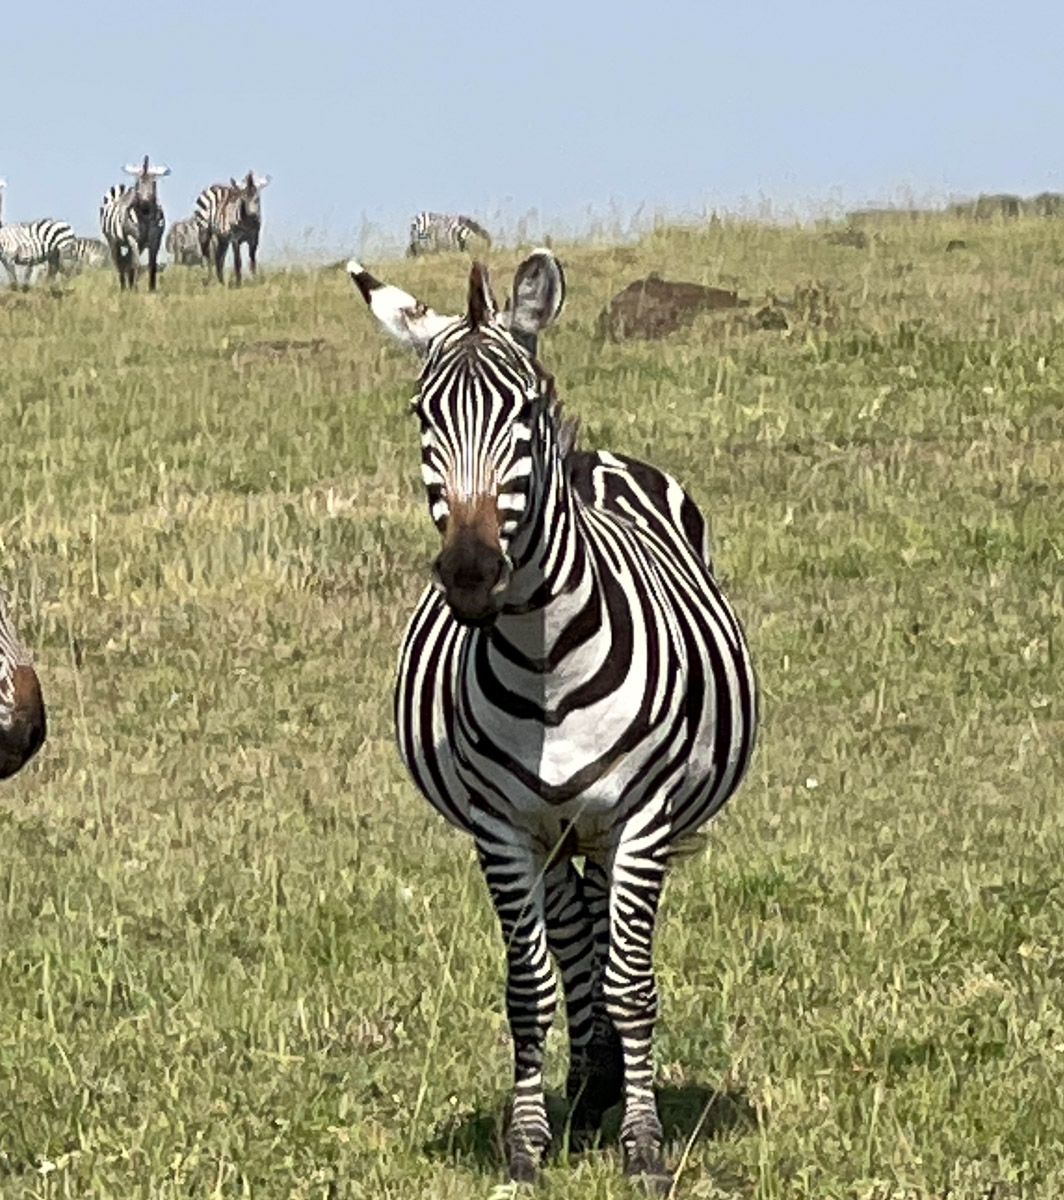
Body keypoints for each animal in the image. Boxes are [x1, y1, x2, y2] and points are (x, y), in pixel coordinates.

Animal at [99, 155, 170, 291]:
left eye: (154, 184)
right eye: (137, 184)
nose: (145, 207)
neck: (145, 219)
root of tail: (120, 191)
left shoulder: (155, 239)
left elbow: (152, 265)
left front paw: (152, 288)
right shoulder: (132, 238)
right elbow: (136, 263)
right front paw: (135, 289)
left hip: (137, 243)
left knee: (126, 261)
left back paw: (129, 284)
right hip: (113, 241)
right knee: (119, 262)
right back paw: (123, 287)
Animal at [345, 250, 758, 1189]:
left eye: (526, 412)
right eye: (423, 416)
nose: (469, 574)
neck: (544, 665)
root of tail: (596, 456)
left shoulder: (640, 817)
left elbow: (633, 983)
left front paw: (644, 1146)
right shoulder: (503, 829)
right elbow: (529, 985)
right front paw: (529, 1143)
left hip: (610, 829)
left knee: (602, 941)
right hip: (556, 832)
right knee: (574, 939)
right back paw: (590, 1081)